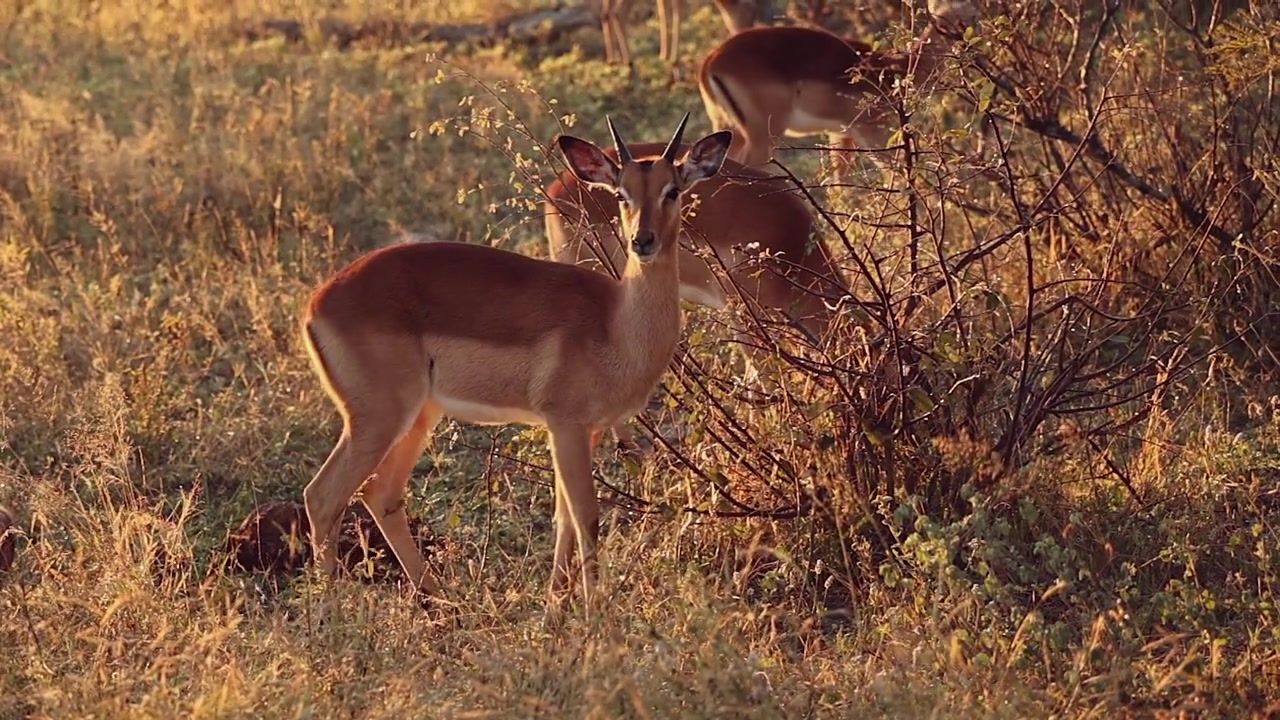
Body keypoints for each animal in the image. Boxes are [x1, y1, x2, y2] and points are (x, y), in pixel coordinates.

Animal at [299, 114, 732, 621]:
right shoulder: (566, 424)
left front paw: (554, 613)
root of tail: (318, 302)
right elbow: (586, 515)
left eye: (673, 190)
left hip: (418, 416)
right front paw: (595, 616)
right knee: (323, 496)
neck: (615, 324)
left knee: (380, 494)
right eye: (622, 192)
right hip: (378, 419)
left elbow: (564, 517)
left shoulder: (584, 430)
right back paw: (330, 613)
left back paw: (445, 604)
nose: (642, 241)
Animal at [697, 0, 980, 170]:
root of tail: (710, 61)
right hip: (763, 137)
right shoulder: (873, 134)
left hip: (730, 130)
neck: (898, 69)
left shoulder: (841, 135)